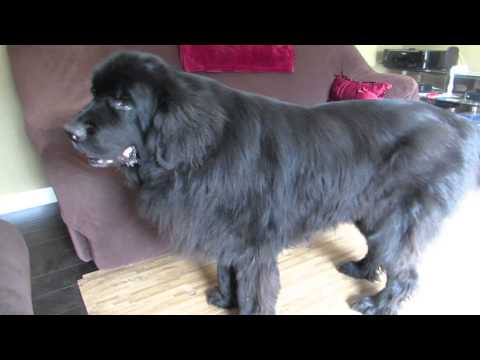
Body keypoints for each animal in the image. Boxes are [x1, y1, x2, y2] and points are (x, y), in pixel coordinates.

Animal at [64, 51, 480, 316]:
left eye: (123, 103)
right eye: (94, 94)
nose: (69, 132)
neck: (199, 148)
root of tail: (455, 122)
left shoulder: (253, 246)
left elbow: (253, 291)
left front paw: (243, 307)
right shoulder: (224, 230)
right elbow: (224, 270)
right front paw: (223, 299)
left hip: (399, 216)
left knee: (406, 272)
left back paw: (377, 305)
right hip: (373, 210)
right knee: (382, 252)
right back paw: (361, 271)